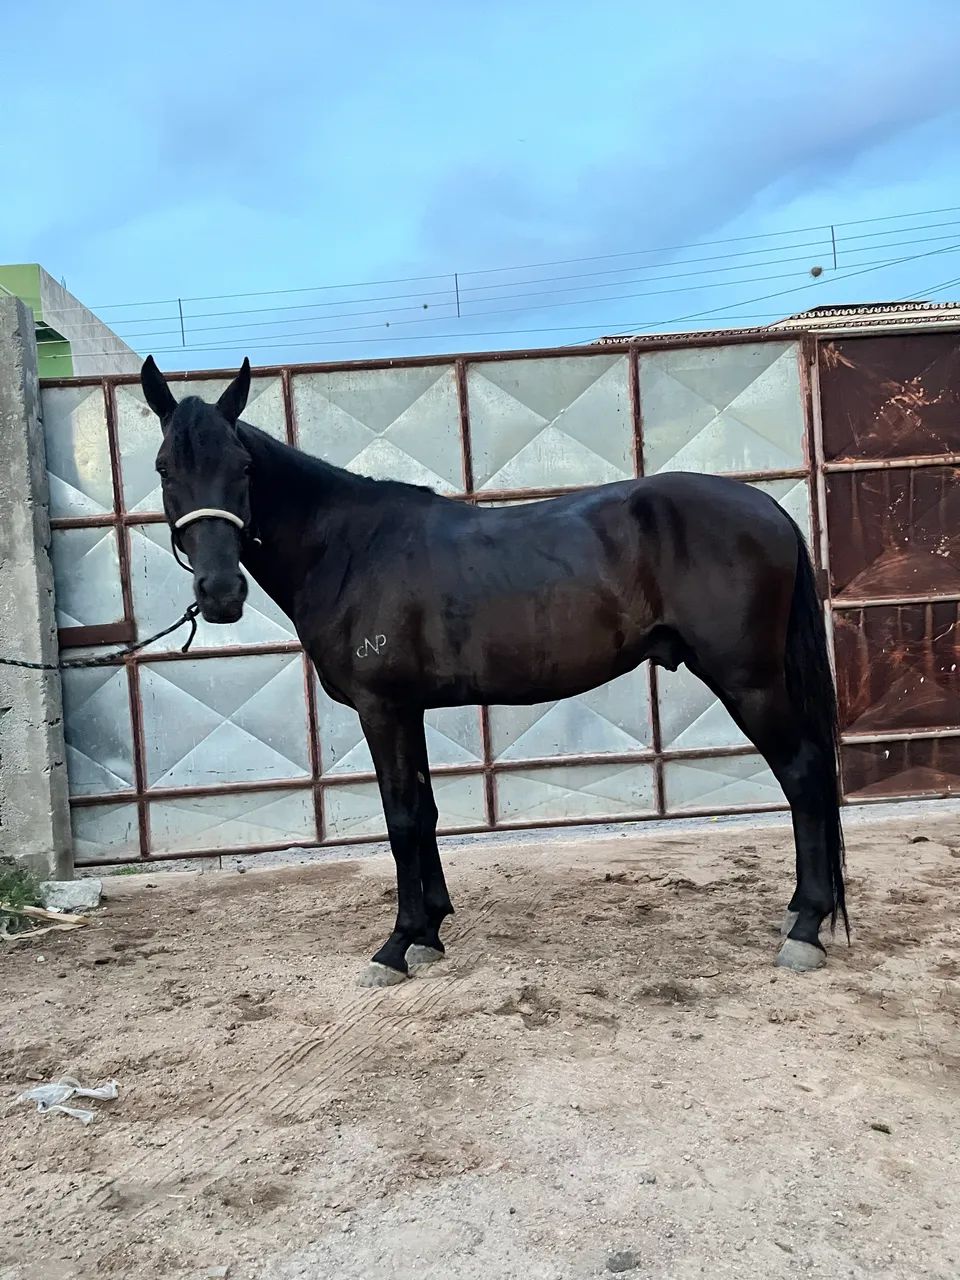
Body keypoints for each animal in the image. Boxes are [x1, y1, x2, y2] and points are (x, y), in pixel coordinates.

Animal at [140, 355, 848, 987]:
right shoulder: (408, 710)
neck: (348, 548)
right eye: (165, 468)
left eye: (243, 467)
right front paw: (429, 932)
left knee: (804, 775)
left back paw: (805, 929)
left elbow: (400, 816)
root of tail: (767, 509)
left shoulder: (381, 708)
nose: (220, 593)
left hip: (748, 681)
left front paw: (396, 946)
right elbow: (424, 810)